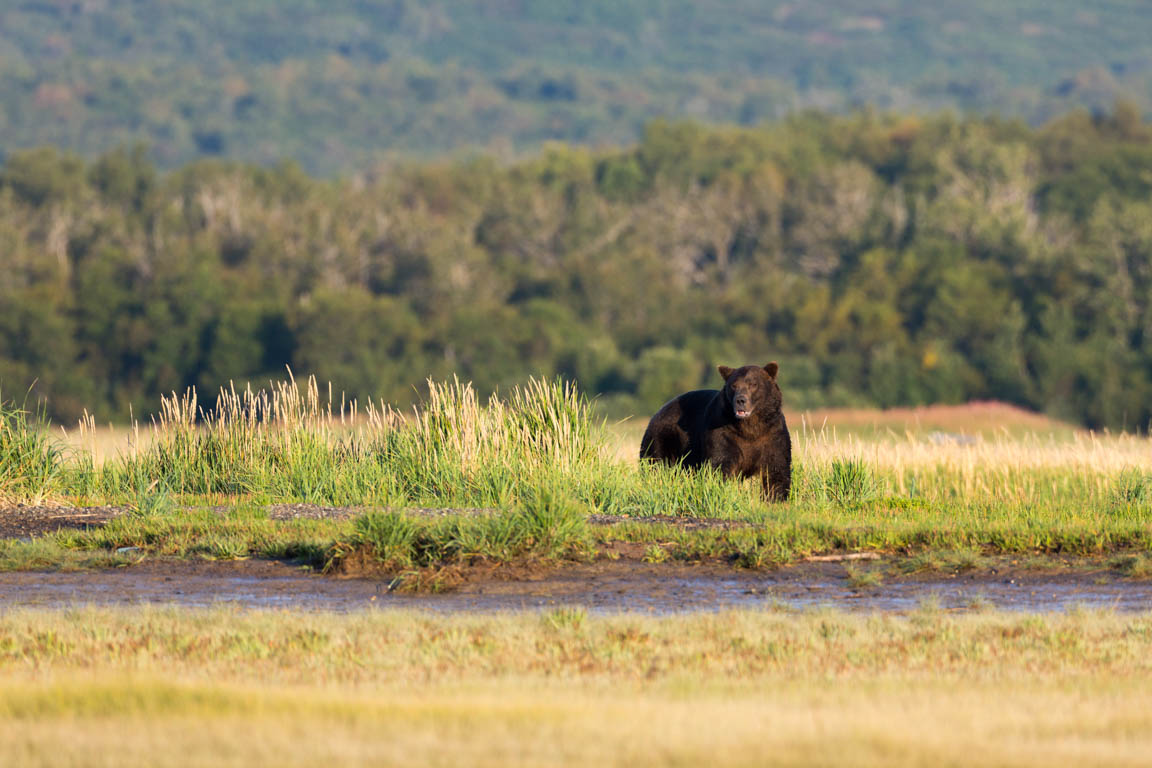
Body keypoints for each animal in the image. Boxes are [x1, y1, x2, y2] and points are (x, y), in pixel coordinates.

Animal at [640, 361, 792, 502]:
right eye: (733, 385)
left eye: (753, 384)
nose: (740, 400)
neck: (749, 427)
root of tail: (657, 413)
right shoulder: (723, 433)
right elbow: (720, 464)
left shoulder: (772, 435)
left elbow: (776, 468)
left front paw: (775, 498)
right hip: (662, 438)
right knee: (655, 465)